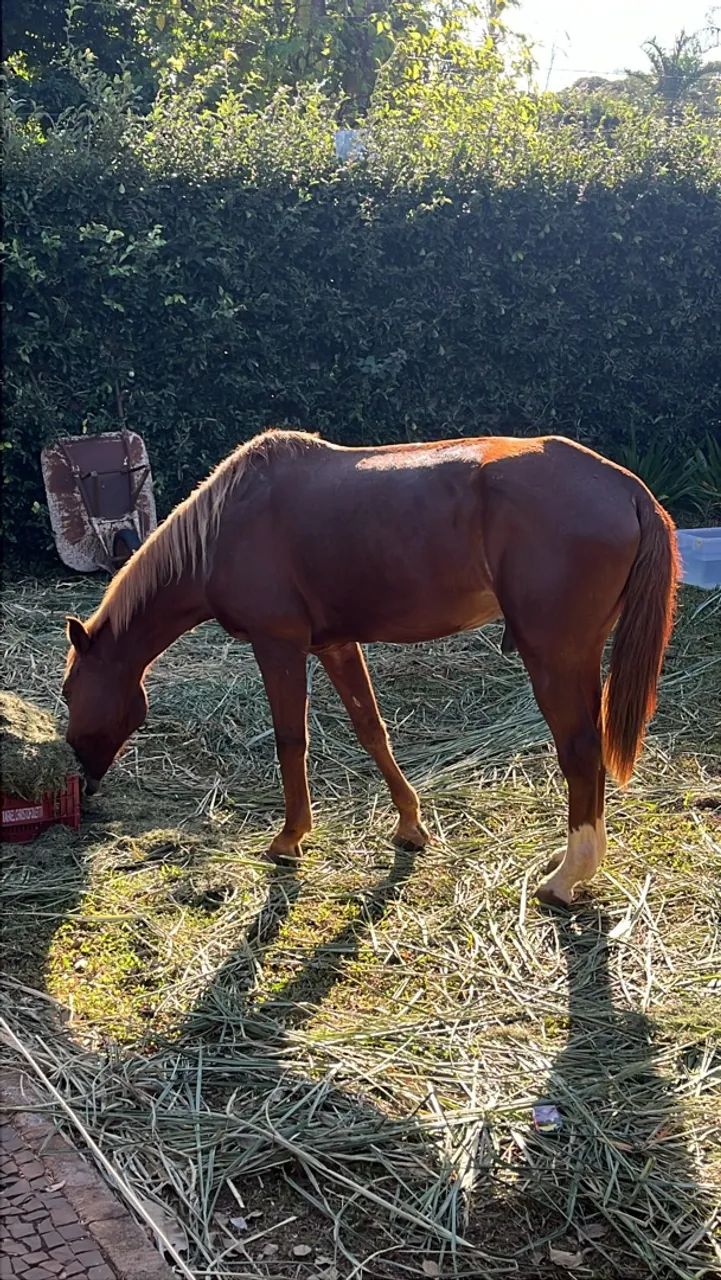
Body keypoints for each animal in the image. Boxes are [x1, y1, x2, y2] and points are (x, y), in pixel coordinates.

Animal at [63, 429, 679, 907]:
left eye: (69, 693)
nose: (83, 782)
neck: (225, 528)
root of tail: (627, 488)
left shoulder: (278, 645)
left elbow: (291, 739)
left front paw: (290, 839)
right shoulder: (336, 645)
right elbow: (371, 729)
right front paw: (409, 825)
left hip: (554, 656)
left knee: (580, 752)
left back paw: (566, 877)